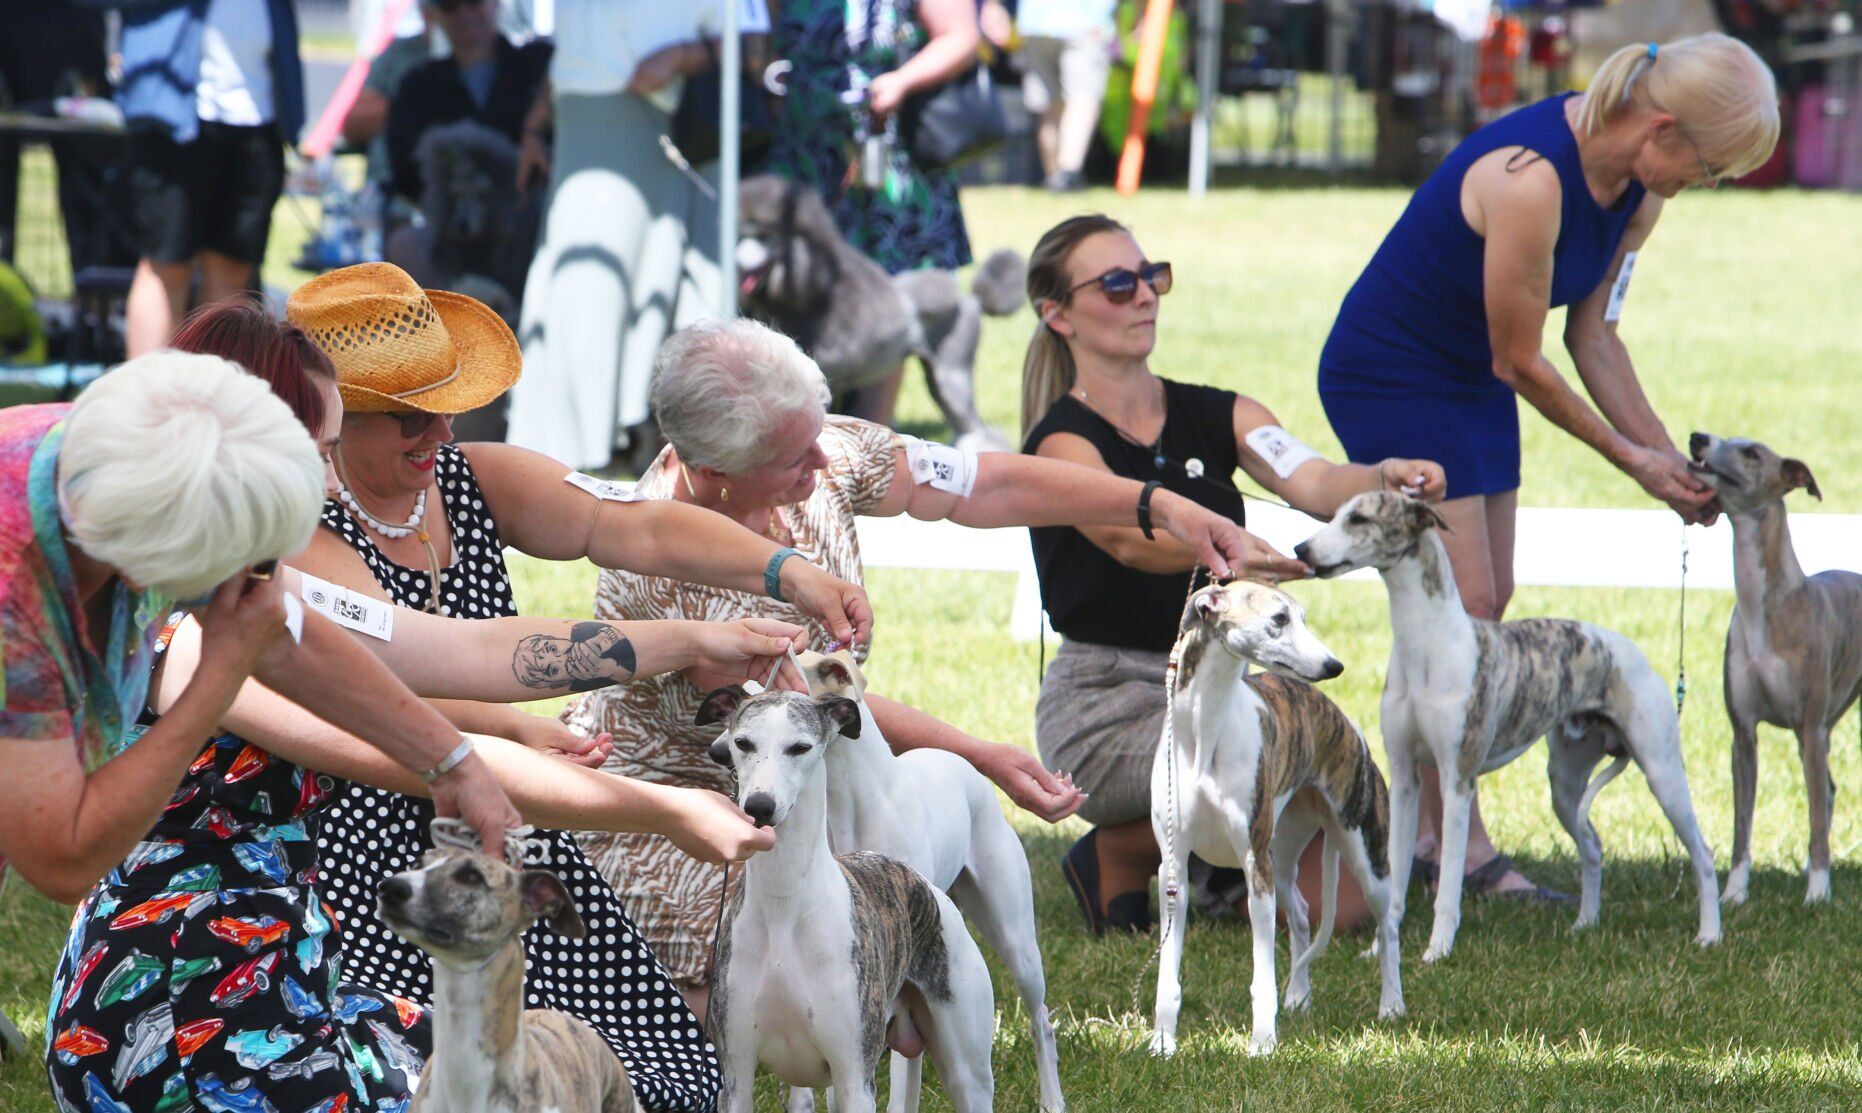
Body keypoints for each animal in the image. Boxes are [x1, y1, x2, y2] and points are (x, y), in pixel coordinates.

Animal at [696, 688, 998, 1113]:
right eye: (743, 743)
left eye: (800, 747)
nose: (759, 807)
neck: (785, 905)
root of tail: (922, 883)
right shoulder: (736, 1076)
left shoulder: (855, 1077)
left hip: (967, 1071)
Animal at [1146, 580, 1400, 1057]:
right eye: (1279, 619)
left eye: (1302, 617)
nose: (1334, 665)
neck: (1207, 732)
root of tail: (1342, 719)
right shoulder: (1174, 868)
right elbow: (1167, 975)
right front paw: (1162, 1042)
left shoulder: (1253, 865)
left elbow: (1261, 975)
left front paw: (1263, 1043)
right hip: (1281, 856)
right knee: (1300, 913)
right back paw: (1299, 995)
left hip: (1362, 852)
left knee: (1388, 925)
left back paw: (1392, 1005)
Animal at [1295, 491, 1713, 960]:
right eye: (1335, 514)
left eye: (1360, 519)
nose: (1301, 550)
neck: (1425, 647)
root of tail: (1629, 652)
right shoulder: (1404, 779)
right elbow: (1396, 879)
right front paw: (1379, 951)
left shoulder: (1457, 782)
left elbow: (1449, 884)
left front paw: (1437, 951)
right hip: (1564, 784)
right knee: (1592, 846)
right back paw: (1585, 923)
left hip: (1662, 770)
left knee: (1703, 853)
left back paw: (1709, 934)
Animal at [1683, 433, 1854, 908]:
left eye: (1752, 453)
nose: (1697, 438)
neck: (1767, 606)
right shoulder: (1743, 734)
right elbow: (1742, 825)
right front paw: (1734, 893)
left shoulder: (1810, 729)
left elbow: (1815, 819)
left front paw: (1817, 893)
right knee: (1828, 791)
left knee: (1822, 799)